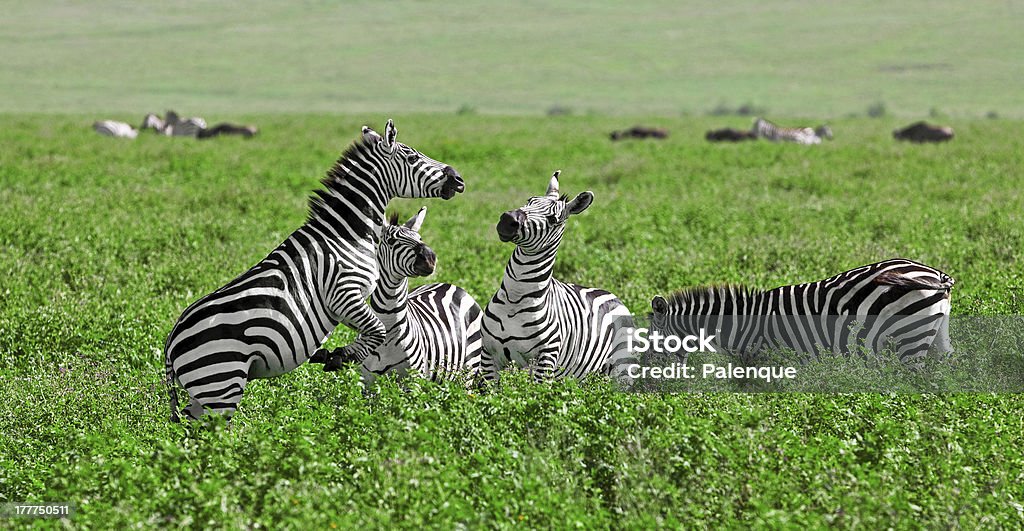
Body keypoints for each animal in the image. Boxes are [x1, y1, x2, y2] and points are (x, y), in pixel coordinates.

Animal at [311, 207, 483, 386]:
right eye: (392, 242)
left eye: (420, 238)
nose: (430, 258)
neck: (388, 324)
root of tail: (449, 285)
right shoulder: (366, 383)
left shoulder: (412, 382)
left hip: (467, 374)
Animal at [477, 171, 630, 386]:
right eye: (529, 201)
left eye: (552, 219)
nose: (508, 219)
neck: (516, 296)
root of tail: (613, 296)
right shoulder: (488, 354)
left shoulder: (545, 359)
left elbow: (536, 394)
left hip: (621, 368)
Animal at [651, 256, 954, 366]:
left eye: (651, 345)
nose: (646, 388)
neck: (742, 324)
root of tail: (937, 274)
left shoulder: (767, 358)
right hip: (936, 334)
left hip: (909, 339)